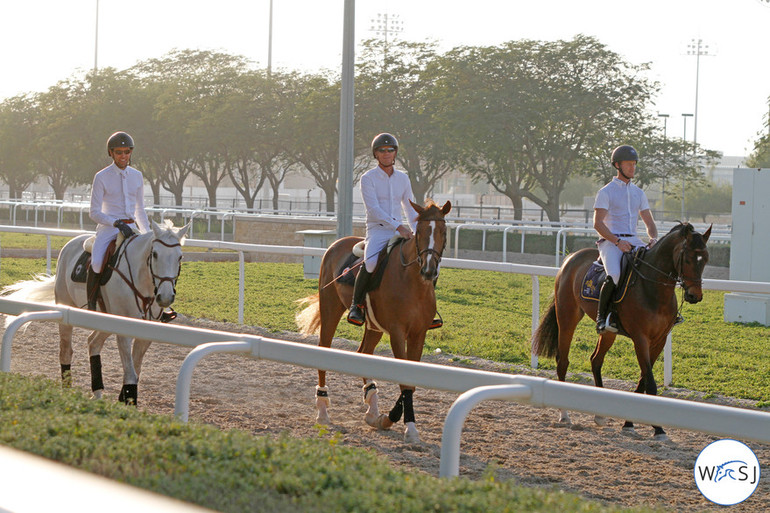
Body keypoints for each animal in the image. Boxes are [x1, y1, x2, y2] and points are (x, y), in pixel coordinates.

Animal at [294, 199, 450, 440]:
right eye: (420, 231)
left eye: (443, 231)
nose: (429, 270)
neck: (412, 281)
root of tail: (336, 243)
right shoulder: (397, 333)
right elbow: (404, 380)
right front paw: (404, 424)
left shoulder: (418, 333)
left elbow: (412, 381)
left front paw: (390, 419)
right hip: (331, 308)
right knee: (324, 349)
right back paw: (322, 411)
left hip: (374, 326)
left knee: (364, 354)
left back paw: (372, 409)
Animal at [532, 222, 712, 438]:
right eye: (687, 258)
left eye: (705, 258)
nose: (695, 296)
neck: (653, 288)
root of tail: (571, 257)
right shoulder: (640, 339)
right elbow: (650, 382)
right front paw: (657, 428)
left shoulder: (659, 340)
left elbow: (643, 379)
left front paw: (629, 423)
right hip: (567, 317)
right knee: (563, 362)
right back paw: (565, 415)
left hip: (608, 332)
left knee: (596, 360)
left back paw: (600, 414)